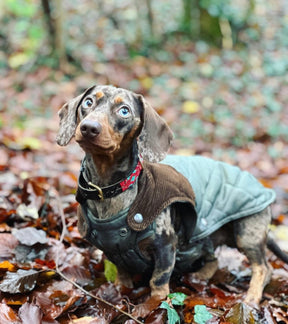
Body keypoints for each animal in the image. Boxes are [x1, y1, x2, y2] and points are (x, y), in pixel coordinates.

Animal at [56, 85, 288, 308]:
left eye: (124, 111)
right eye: (88, 102)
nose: (89, 127)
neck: (110, 190)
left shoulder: (166, 246)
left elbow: (158, 282)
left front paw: (153, 305)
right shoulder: (113, 252)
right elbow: (122, 277)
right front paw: (121, 292)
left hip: (247, 233)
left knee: (263, 268)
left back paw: (251, 299)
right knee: (214, 260)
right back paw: (199, 277)